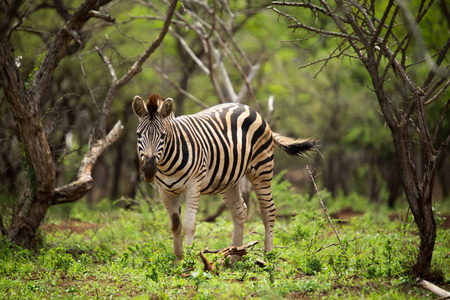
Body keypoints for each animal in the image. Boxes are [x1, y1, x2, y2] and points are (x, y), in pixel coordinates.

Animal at [132, 94, 318, 260]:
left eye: (163, 136)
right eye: (138, 135)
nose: (149, 170)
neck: (166, 164)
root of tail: (249, 108)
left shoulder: (193, 185)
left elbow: (188, 225)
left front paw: (189, 261)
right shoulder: (165, 191)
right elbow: (174, 225)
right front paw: (178, 259)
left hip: (262, 170)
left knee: (268, 210)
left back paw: (268, 255)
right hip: (229, 179)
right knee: (240, 211)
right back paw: (235, 256)